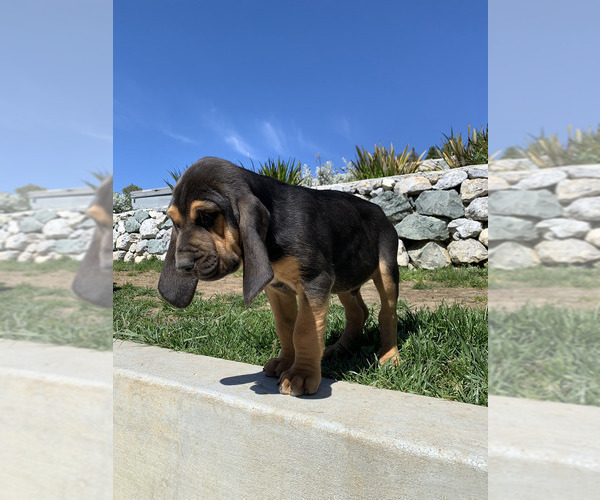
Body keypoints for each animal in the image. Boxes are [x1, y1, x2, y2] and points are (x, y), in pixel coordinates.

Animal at [159, 158, 398, 396]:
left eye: (207, 215)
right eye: (174, 222)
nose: (182, 266)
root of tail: (380, 210)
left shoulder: (315, 280)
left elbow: (304, 330)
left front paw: (301, 375)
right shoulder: (277, 288)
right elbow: (285, 326)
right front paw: (285, 362)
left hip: (386, 270)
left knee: (387, 314)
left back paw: (390, 356)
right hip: (345, 278)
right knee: (358, 312)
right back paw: (340, 347)